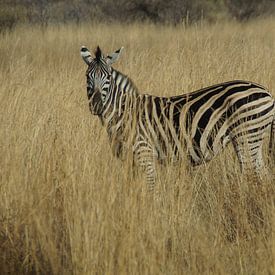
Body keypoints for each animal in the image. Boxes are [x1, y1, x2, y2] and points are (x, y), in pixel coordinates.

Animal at [80, 47, 275, 190]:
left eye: (108, 77)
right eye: (87, 77)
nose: (96, 106)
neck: (123, 113)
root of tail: (266, 91)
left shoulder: (144, 153)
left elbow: (150, 189)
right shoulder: (130, 160)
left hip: (246, 136)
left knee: (251, 175)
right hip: (252, 138)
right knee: (262, 175)